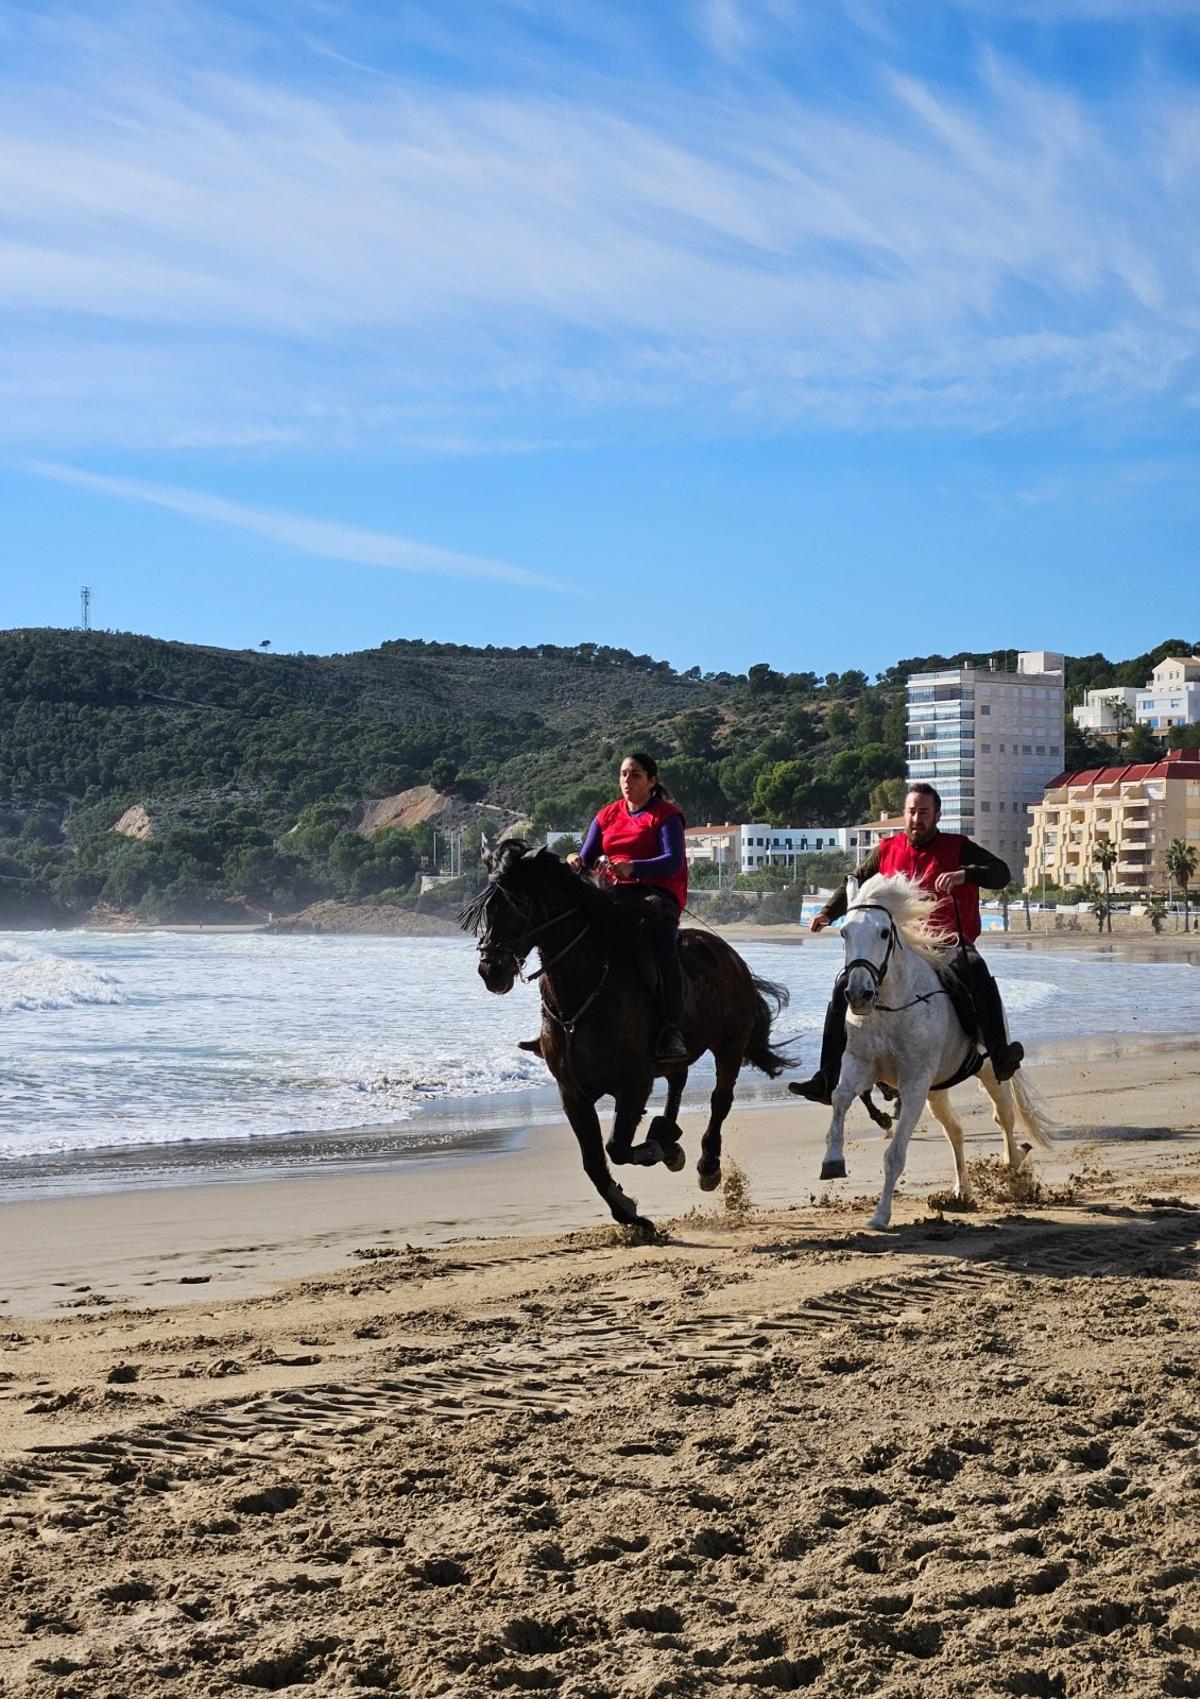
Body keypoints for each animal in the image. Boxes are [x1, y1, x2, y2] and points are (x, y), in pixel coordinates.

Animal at [459, 840, 791, 1235]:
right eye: (485, 906)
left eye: (519, 902)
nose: (490, 971)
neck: (583, 994)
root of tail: (730, 954)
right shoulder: (572, 1094)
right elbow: (593, 1161)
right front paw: (629, 1212)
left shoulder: (633, 1084)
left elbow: (617, 1147)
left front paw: (658, 1155)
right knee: (678, 1080)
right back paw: (667, 1131)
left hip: (730, 1044)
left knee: (719, 1100)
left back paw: (706, 1165)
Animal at [813, 872, 1058, 1231]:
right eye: (844, 932)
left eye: (883, 932)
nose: (858, 994)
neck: (892, 1007)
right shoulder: (861, 1067)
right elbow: (841, 1097)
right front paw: (833, 1160)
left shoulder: (915, 1083)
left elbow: (895, 1155)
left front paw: (880, 1215)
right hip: (937, 1090)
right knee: (955, 1130)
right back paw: (961, 1192)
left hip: (988, 1073)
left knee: (1005, 1116)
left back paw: (1012, 1167)